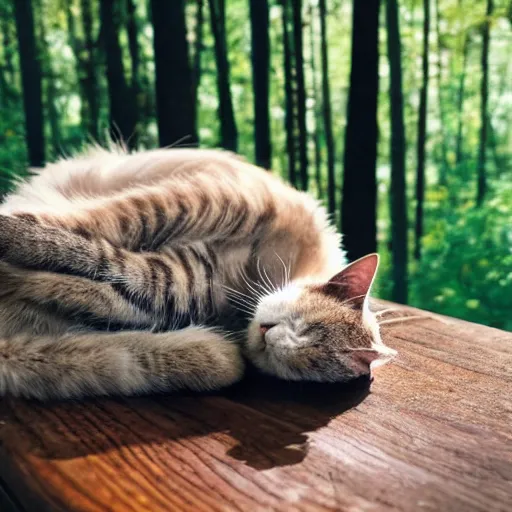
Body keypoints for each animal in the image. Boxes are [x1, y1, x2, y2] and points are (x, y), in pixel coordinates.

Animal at [0, 148, 396, 400]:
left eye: (307, 359)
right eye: (303, 325)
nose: (269, 334)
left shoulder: (172, 282)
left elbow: (102, 266)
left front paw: (22, 273)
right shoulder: (207, 200)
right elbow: (94, 225)